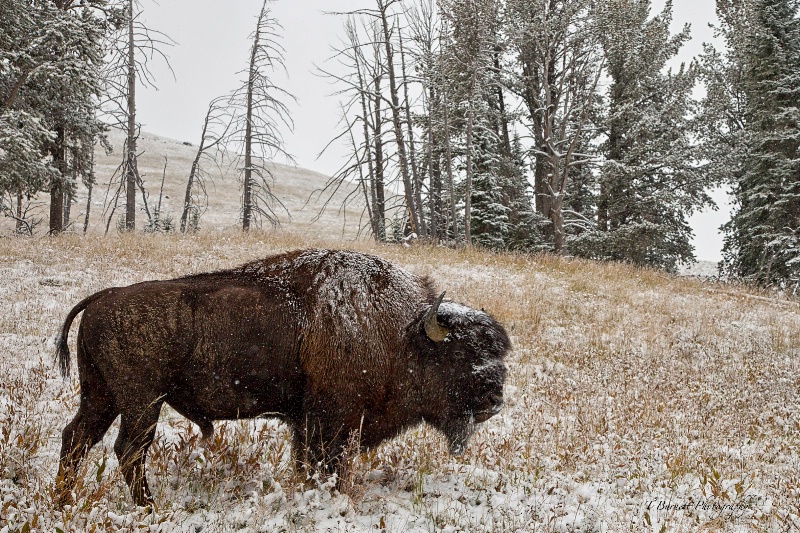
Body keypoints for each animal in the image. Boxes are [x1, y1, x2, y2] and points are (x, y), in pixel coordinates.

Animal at [53, 247, 510, 504]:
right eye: (461, 354)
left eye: (498, 353)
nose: (495, 400)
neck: (401, 331)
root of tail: (102, 298)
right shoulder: (330, 422)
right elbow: (325, 463)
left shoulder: (307, 423)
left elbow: (308, 462)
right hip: (141, 402)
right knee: (128, 449)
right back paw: (148, 507)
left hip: (100, 396)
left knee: (76, 438)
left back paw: (63, 500)